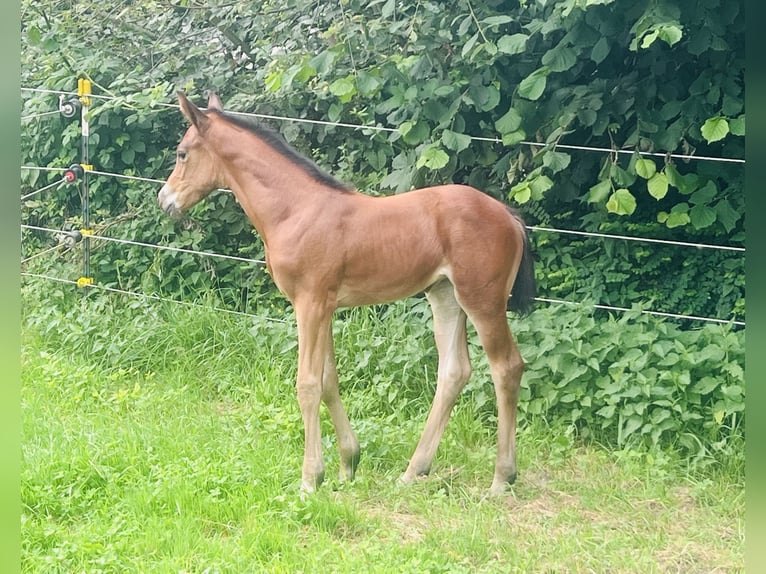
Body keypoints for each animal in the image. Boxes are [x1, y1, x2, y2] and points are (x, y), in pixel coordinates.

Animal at [159, 93, 536, 496]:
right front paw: (347, 463)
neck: (295, 210)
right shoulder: (323, 306)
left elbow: (308, 384)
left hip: (483, 300)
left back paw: (501, 479)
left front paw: (310, 478)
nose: (164, 199)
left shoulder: (310, 303)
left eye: (182, 153)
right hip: (445, 296)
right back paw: (413, 471)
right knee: (454, 372)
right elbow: (328, 382)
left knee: (507, 367)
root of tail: (509, 215)